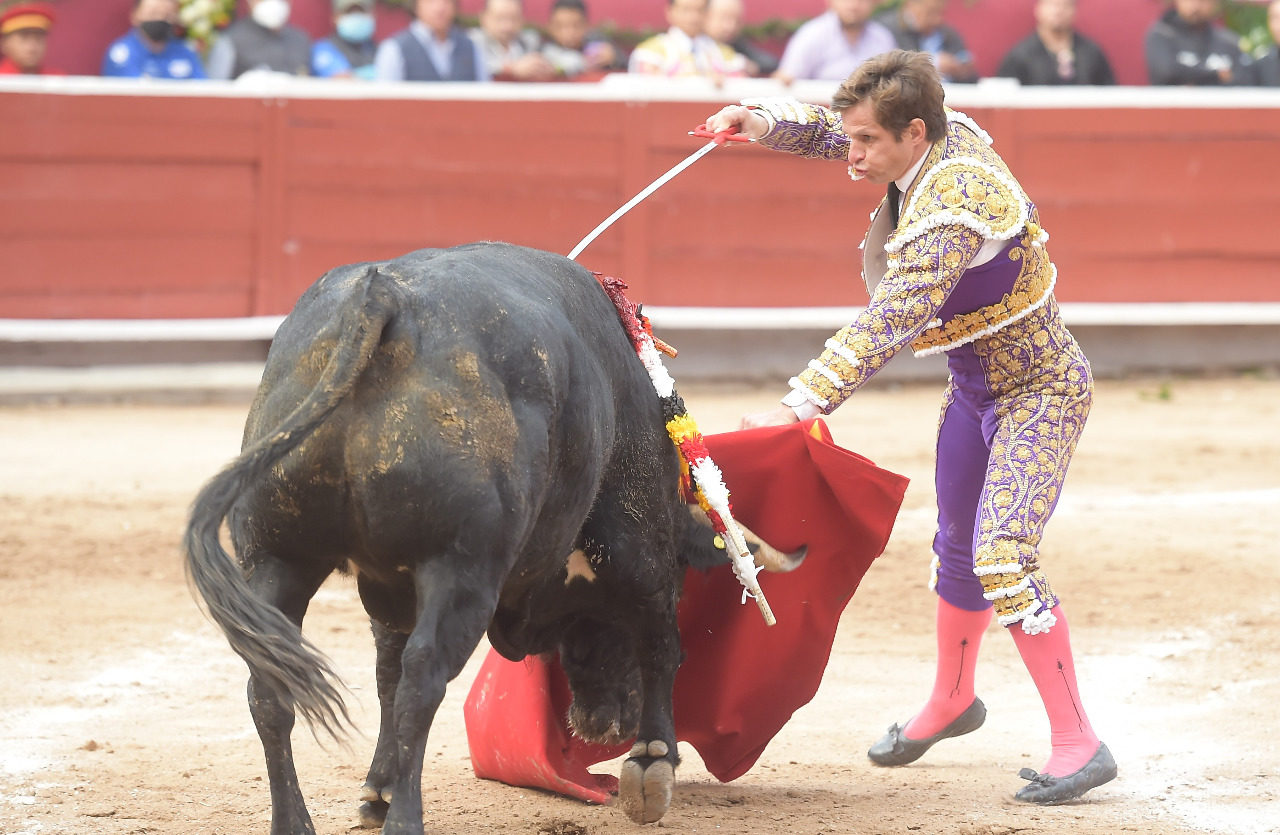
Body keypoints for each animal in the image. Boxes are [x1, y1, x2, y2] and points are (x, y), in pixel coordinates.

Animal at [183, 240, 798, 835]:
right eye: (686, 575)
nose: (602, 726)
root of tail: (382, 299)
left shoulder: (385, 583)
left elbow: (384, 669)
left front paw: (377, 789)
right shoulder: (636, 538)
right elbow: (660, 638)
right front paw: (652, 762)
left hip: (277, 558)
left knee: (273, 682)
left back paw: (296, 821)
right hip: (462, 567)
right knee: (423, 678)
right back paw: (407, 820)